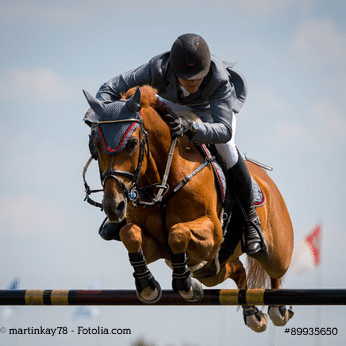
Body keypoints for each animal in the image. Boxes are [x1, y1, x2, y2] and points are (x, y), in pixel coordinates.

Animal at [83, 84, 294, 332]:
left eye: (133, 143)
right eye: (95, 146)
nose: (113, 206)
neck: (163, 181)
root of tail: (267, 182)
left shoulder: (213, 233)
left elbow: (177, 232)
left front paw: (185, 284)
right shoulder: (157, 247)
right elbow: (130, 233)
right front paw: (148, 286)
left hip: (275, 254)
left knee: (275, 273)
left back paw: (277, 309)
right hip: (213, 270)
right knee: (236, 271)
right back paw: (252, 313)